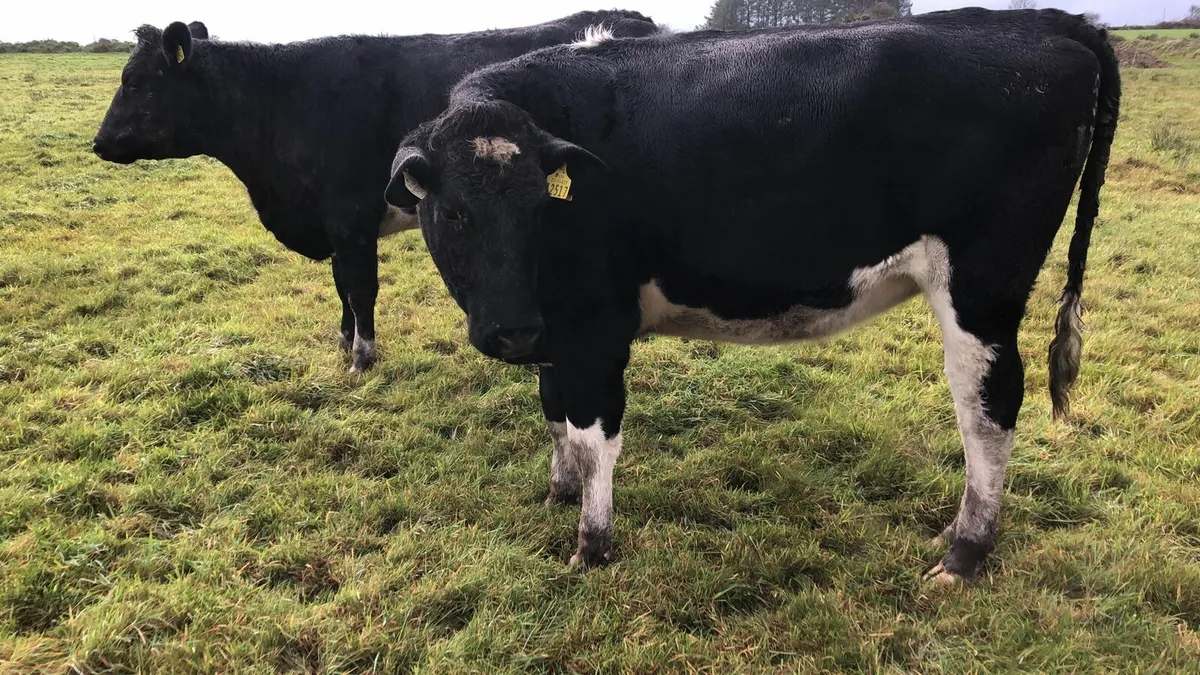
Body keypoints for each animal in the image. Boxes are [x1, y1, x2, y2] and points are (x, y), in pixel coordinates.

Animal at [91, 11, 660, 372]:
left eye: (134, 80)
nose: (98, 142)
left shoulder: (350, 218)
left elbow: (361, 286)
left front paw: (363, 357)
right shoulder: (335, 225)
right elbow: (342, 284)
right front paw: (345, 340)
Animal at [384, 8, 1120, 583]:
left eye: (540, 206)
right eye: (452, 212)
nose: (508, 332)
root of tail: (1037, 22)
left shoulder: (597, 329)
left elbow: (595, 439)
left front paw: (592, 546)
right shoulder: (555, 328)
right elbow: (555, 411)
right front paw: (559, 493)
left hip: (982, 291)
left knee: (988, 409)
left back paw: (965, 552)